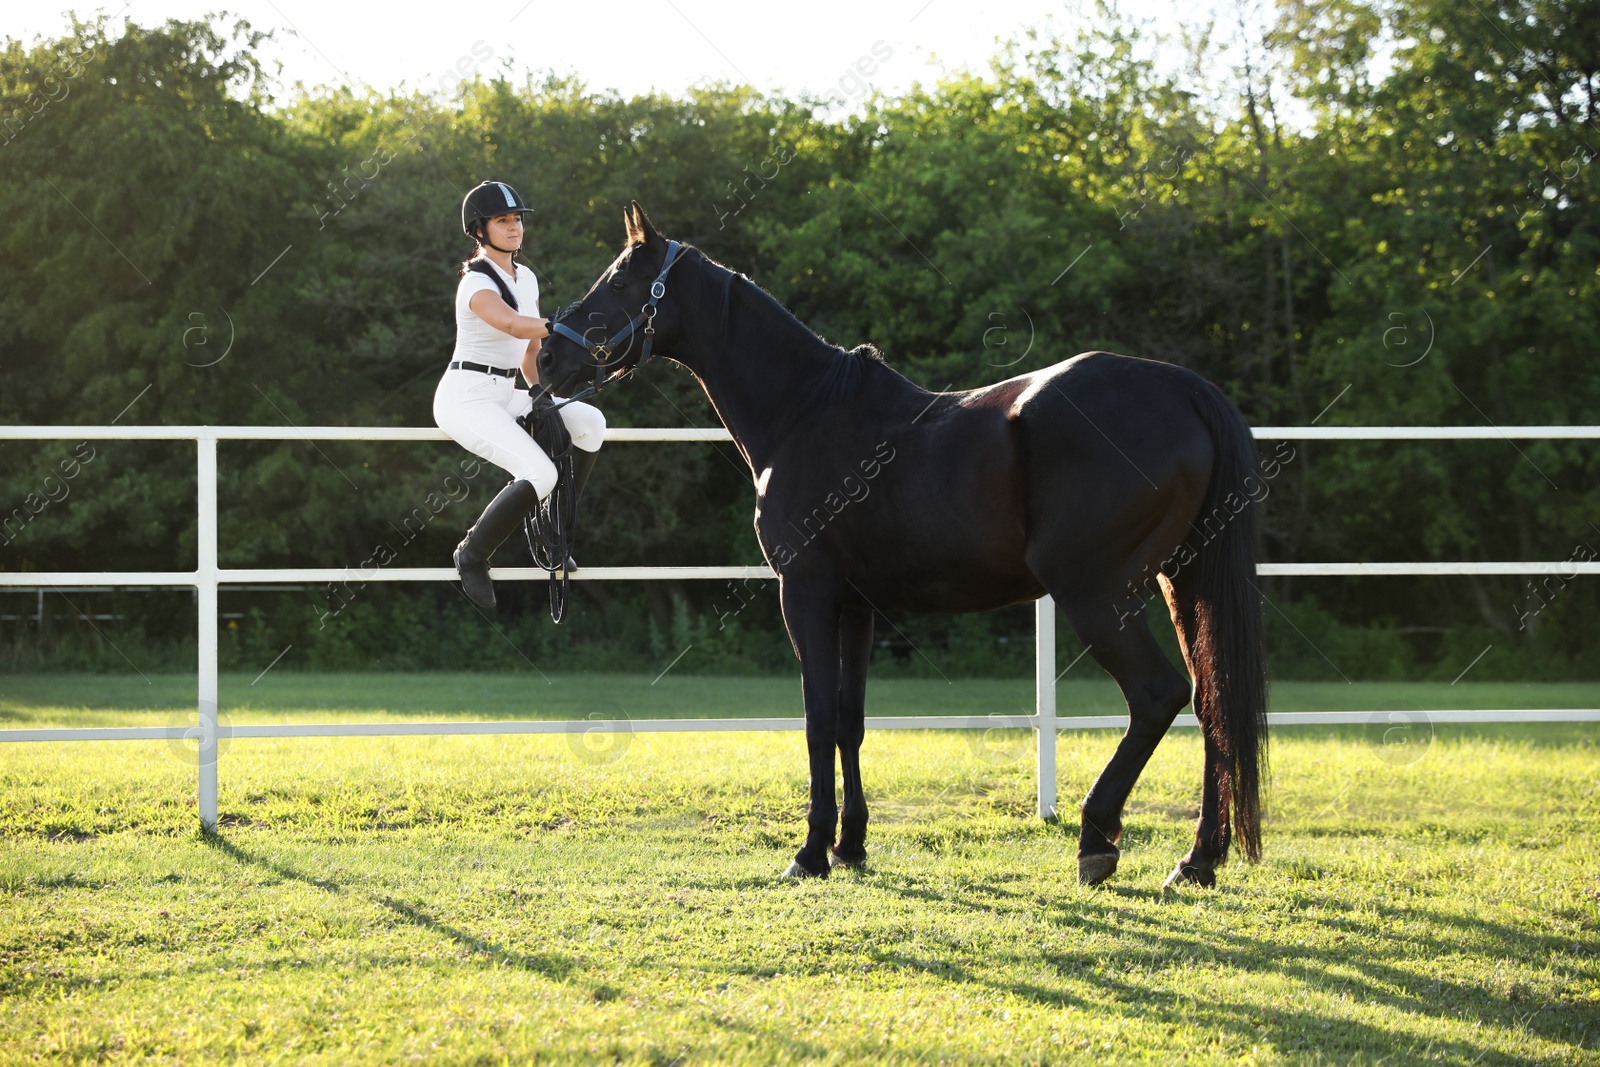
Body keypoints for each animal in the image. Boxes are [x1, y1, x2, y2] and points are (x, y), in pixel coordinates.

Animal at [544, 204, 1267, 889]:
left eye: (617, 281)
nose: (547, 356)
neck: (804, 411)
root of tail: (1185, 390)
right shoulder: (856, 605)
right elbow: (849, 720)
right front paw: (850, 845)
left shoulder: (805, 592)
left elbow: (817, 718)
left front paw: (810, 852)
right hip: (1180, 583)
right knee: (1212, 703)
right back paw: (1197, 859)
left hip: (1095, 593)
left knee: (1156, 694)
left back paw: (1098, 838)